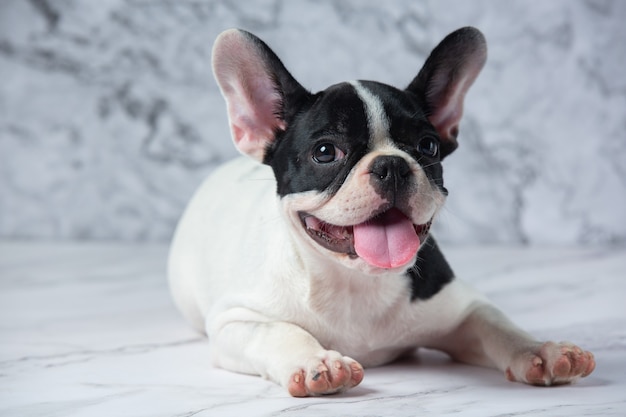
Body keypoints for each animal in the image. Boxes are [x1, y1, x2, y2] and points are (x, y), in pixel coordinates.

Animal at [167, 26, 596, 396]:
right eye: (325, 152)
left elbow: (498, 326)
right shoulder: (235, 320)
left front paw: (540, 350)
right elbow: (279, 332)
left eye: (428, 146)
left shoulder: (463, 310)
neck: (356, 283)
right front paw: (316, 362)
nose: (391, 165)